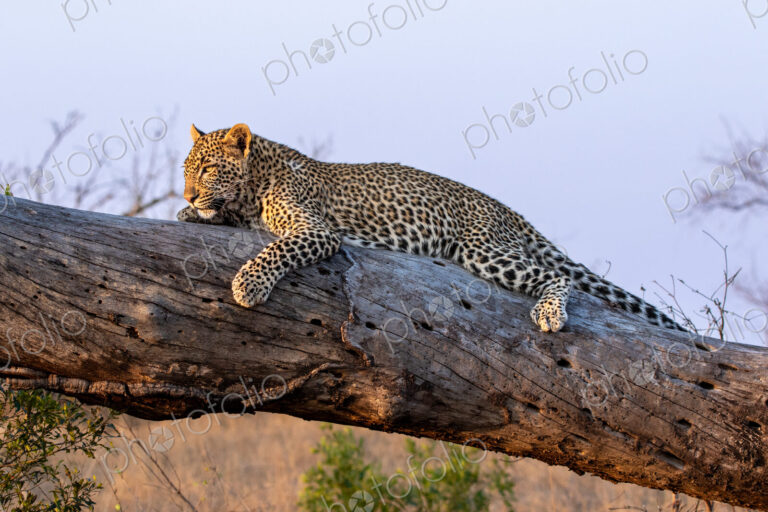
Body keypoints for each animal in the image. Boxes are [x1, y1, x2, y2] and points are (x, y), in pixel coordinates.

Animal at [177, 123, 685, 333]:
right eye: (185, 171)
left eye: (207, 169)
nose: (185, 195)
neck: (253, 184)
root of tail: (504, 207)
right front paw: (191, 215)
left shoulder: (317, 230)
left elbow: (274, 250)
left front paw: (248, 284)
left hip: (485, 249)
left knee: (558, 277)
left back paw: (549, 314)